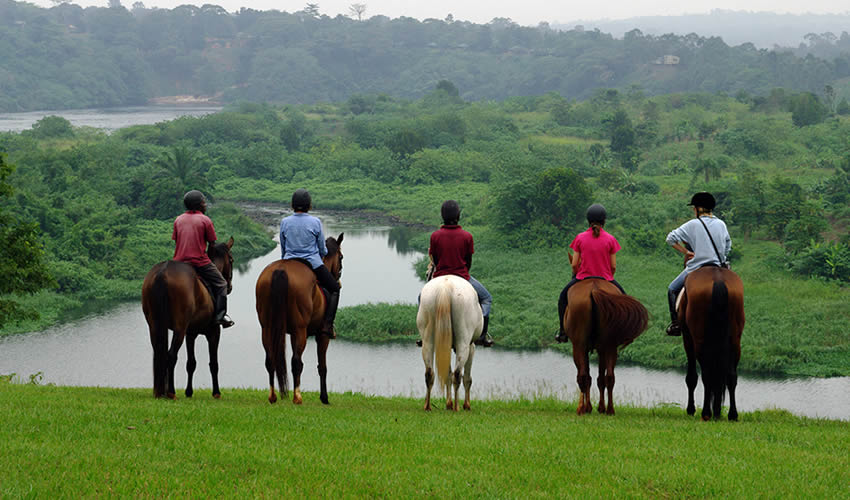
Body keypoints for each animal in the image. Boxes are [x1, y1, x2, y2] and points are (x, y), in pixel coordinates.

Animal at [141, 237, 232, 398]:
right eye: (232, 260)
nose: (229, 287)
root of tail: (162, 272)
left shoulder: (191, 334)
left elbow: (191, 363)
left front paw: (189, 392)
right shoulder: (214, 332)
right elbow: (213, 364)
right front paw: (216, 392)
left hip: (154, 326)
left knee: (159, 353)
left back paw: (160, 392)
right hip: (180, 328)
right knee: (171, 355)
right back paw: (171, 392)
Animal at [253, 232, 342, 404]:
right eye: (341, 257)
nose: (338, 279)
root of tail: (280, 270)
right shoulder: (322, 336)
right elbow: (322, 367)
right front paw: (324, 398)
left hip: (267, 327)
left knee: (270, 359)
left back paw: (273, 396)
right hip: (299, 330)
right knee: (296, 362)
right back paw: (297, 397)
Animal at [416, 276, 480, 412]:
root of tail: (445, 287)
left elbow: (447, 375)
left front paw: (448, 403)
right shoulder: (471, 346)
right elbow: (467, 378)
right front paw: (466, 405)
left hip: (428, 338)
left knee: (429, 373)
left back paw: (427, 406)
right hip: (463, 341)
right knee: (457, 374)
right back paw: (456, 407)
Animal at [564, 278, 648, 414]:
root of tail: (594, 290)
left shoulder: (584, 347)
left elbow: (588, 376)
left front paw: (589, 407)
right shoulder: (601, 349)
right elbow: (600, 378)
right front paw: (598, 407)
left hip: (579, 345)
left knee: (583, 376)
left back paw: (582, 408)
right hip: (609, 346)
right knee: (609, 377)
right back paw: (609, 409)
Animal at [676, 268, 744, 420]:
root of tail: (717, 279)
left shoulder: (688, 338)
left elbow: (692, 377)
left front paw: (691, 409)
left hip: (699, 340)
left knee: (706, 375)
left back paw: (706, 412)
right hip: (735, 341)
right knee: (731, 377)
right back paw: (731, 414)